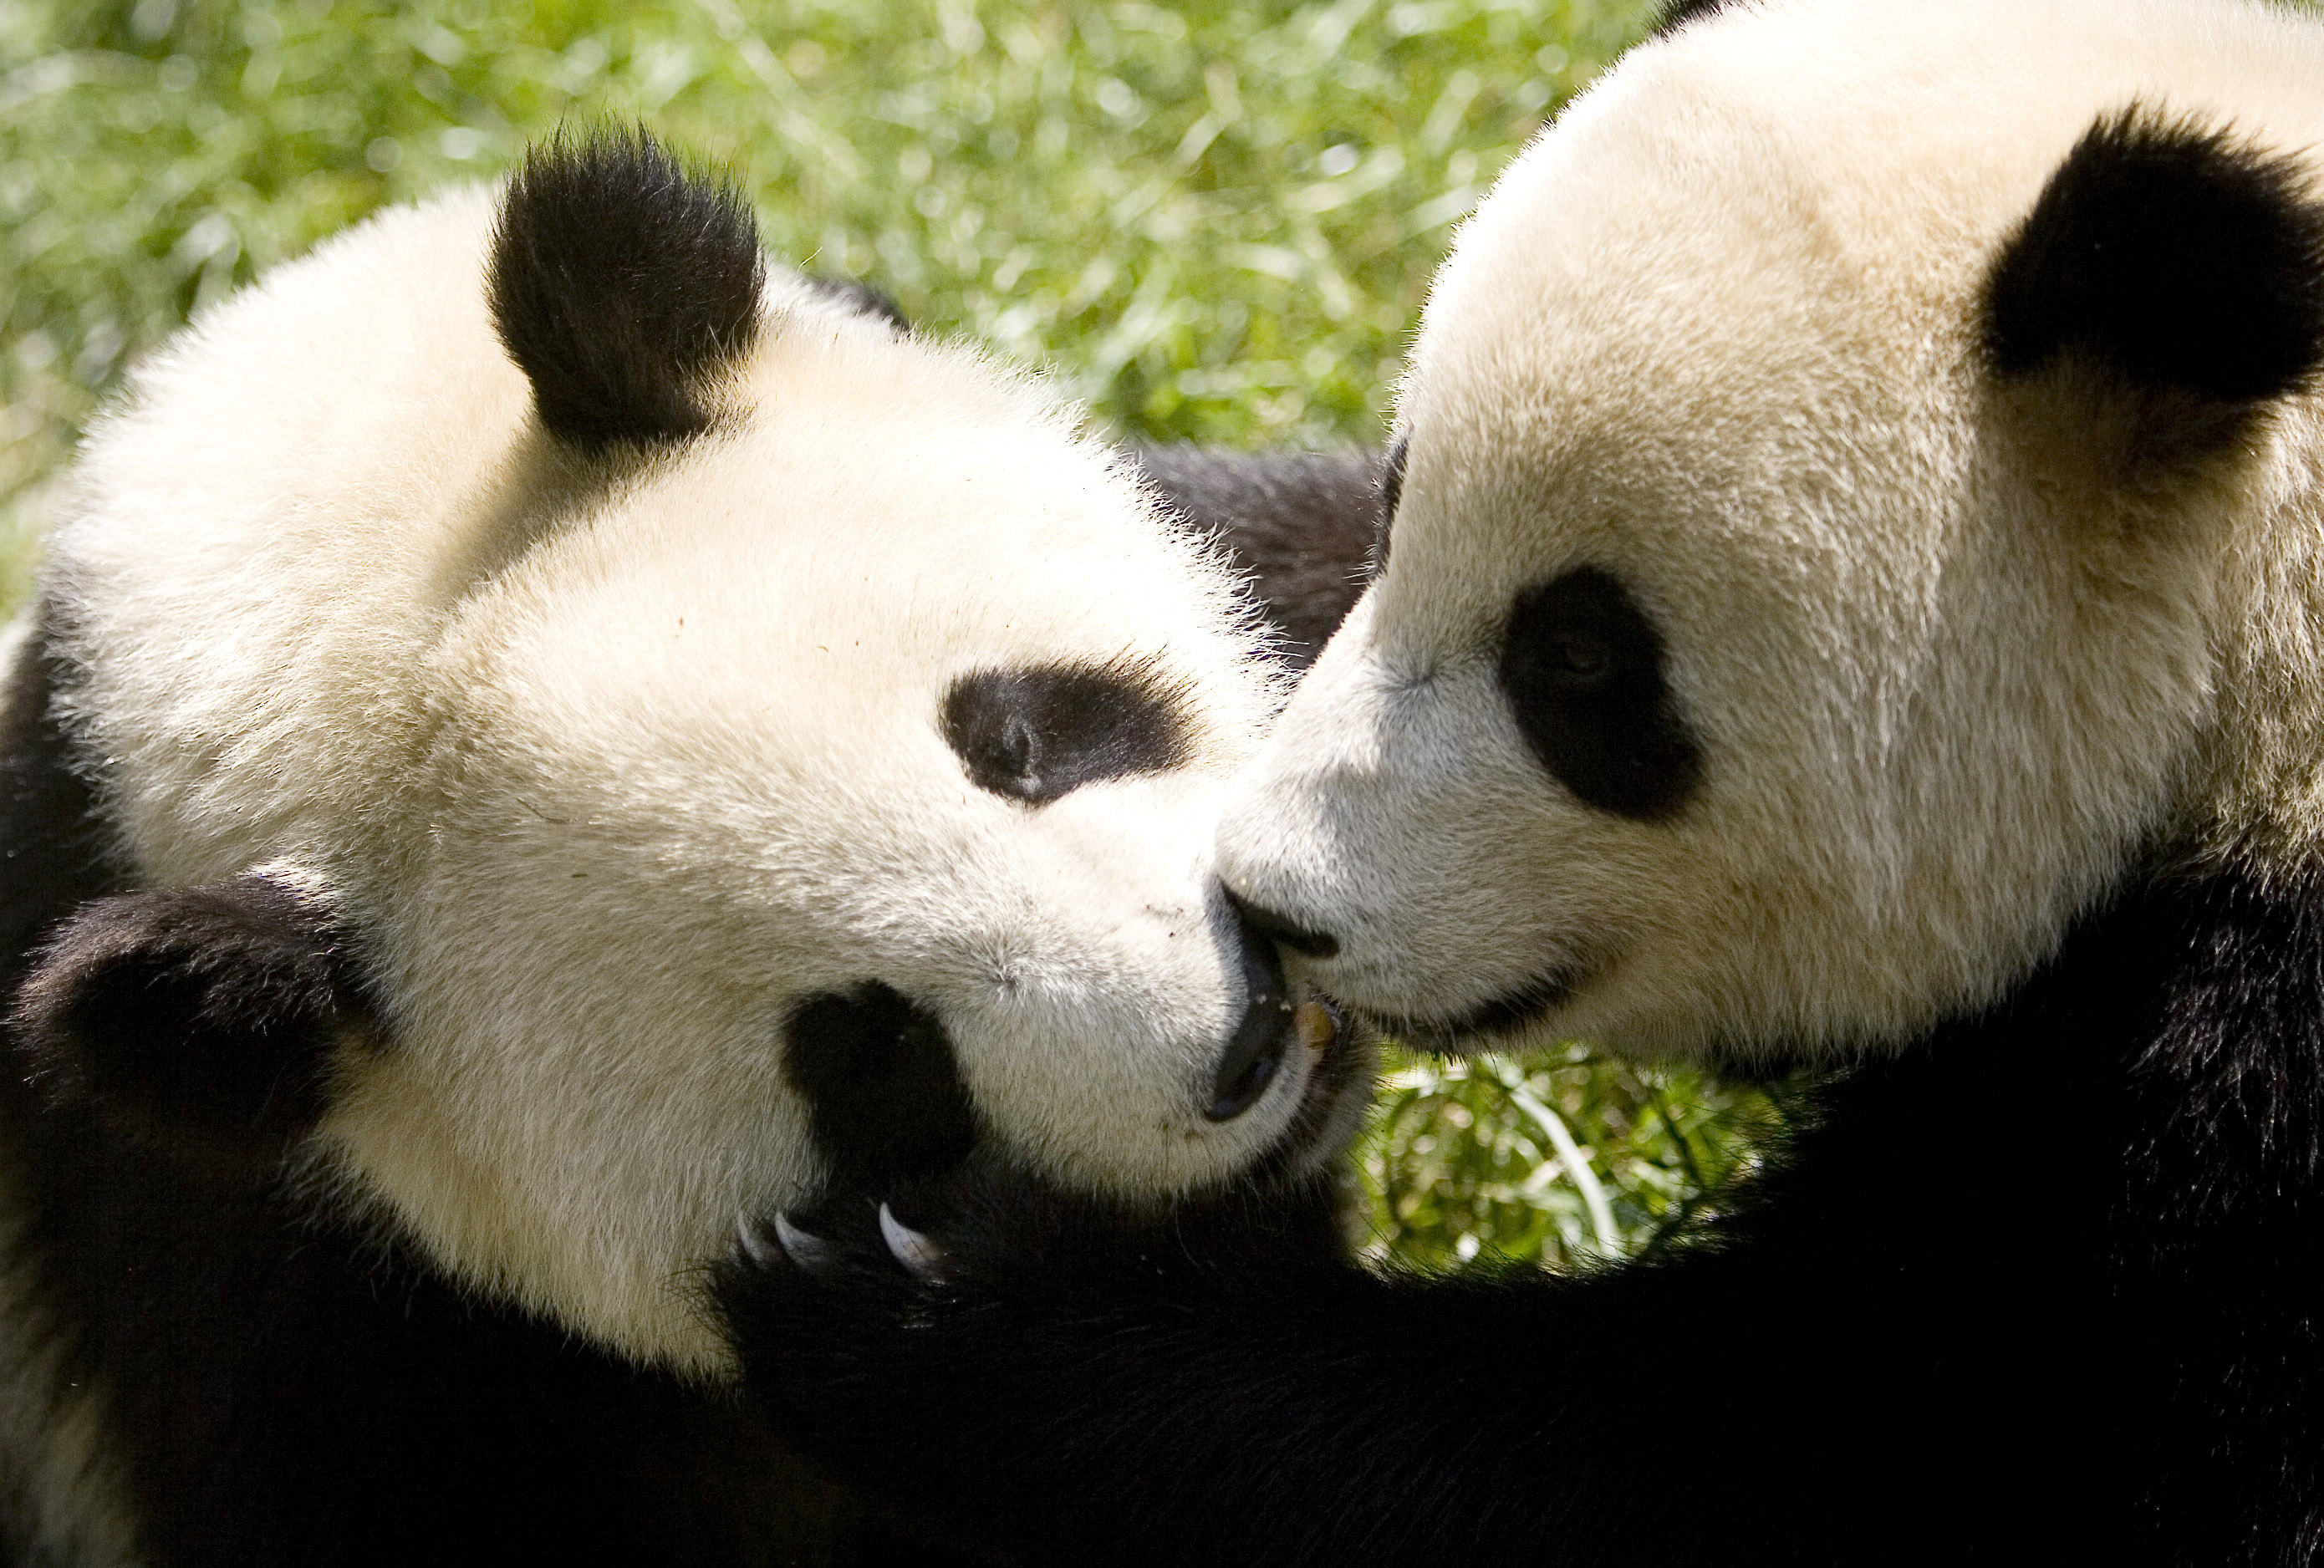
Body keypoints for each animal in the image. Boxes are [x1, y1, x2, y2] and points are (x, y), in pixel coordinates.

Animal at [718, 1, 2324, 1562]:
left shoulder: (2242, 1113)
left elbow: (1815, 1461)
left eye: (1580, 661)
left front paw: (939, 1290)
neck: (2248, 640)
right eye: (1396, 508)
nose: (1270, 904)